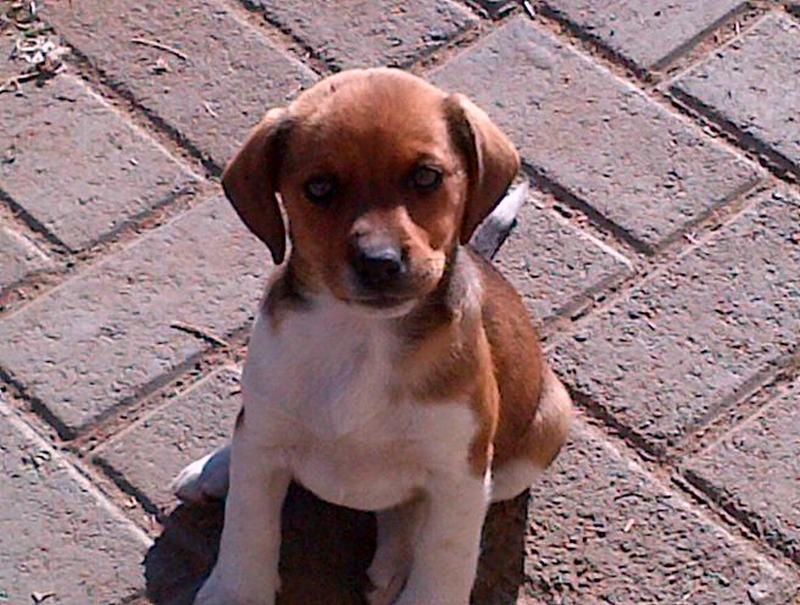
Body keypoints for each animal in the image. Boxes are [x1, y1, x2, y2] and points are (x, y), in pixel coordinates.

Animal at [173, 68, 573, 605]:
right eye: (319, 188)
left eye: (426, 177)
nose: (380, 263)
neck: (364, 339)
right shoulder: (265, 440)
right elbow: (248, 526)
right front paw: (237, 590)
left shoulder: (460, 474)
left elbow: (444, 561)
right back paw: (216, 469)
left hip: (543, 430)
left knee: (409, 512)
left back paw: (394, 563)